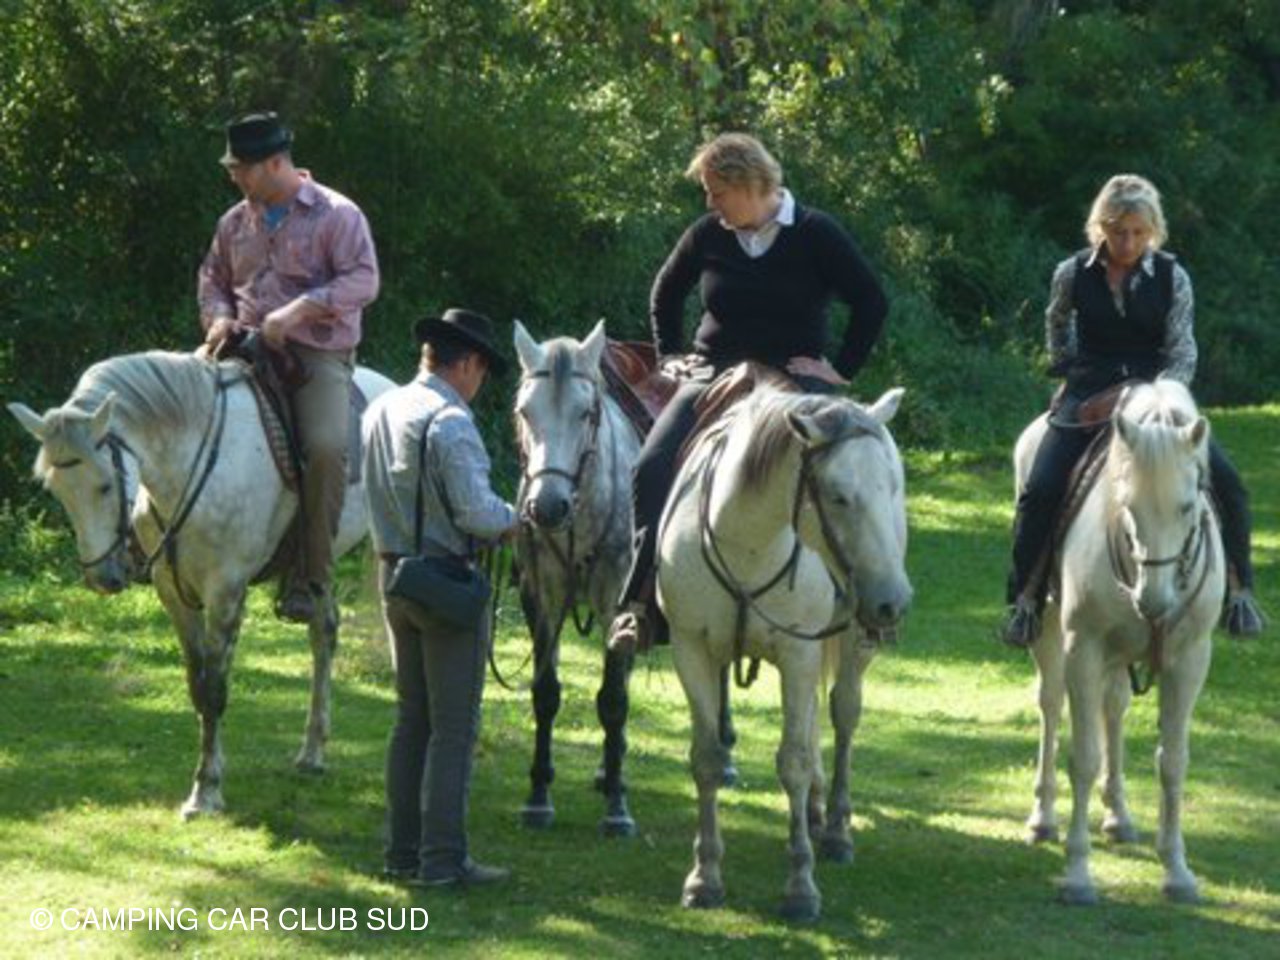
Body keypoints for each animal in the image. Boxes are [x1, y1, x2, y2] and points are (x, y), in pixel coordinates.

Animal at [8, 349, 394, 819]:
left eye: (103, 484)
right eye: (57, 489)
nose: (103, 578)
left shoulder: (225, 591)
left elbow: (214, 690)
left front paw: (206, 791)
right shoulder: (173, 593)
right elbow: (197, 686)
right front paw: (210, 774)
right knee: (324, 634)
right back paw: (312, 752)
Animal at [511, 320, 645, 835]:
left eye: (586, 413)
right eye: (525, 411)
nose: (548, 506)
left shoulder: (617, 603)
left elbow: (613, 700)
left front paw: (618, 809)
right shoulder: (540, 596)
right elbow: (545, 692)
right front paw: (537, 795)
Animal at [658, 381, 912, 921]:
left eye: (893, 486)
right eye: (838, 496)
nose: (893, 602)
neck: (748, 544)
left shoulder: (798, 653)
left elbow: (792, 761)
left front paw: (800, 886)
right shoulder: (692, 650)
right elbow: (707, 758)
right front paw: (704, 877)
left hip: (853, 644)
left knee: (842, 714)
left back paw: (834, 828)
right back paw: (814, 811)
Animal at [1017, 379, 1224, 905]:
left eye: (1188, 506)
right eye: (1128, 506)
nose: (1154, 600)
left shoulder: (1190, 660)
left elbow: (1173, 762)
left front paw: (1177, 871)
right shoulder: (1083, 649)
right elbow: (1084, 757)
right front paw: (1077, 874)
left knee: (1114, 708)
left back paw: (1119, 816)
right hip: (1050, 634)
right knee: (1051, 705)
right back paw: (1043, 818)